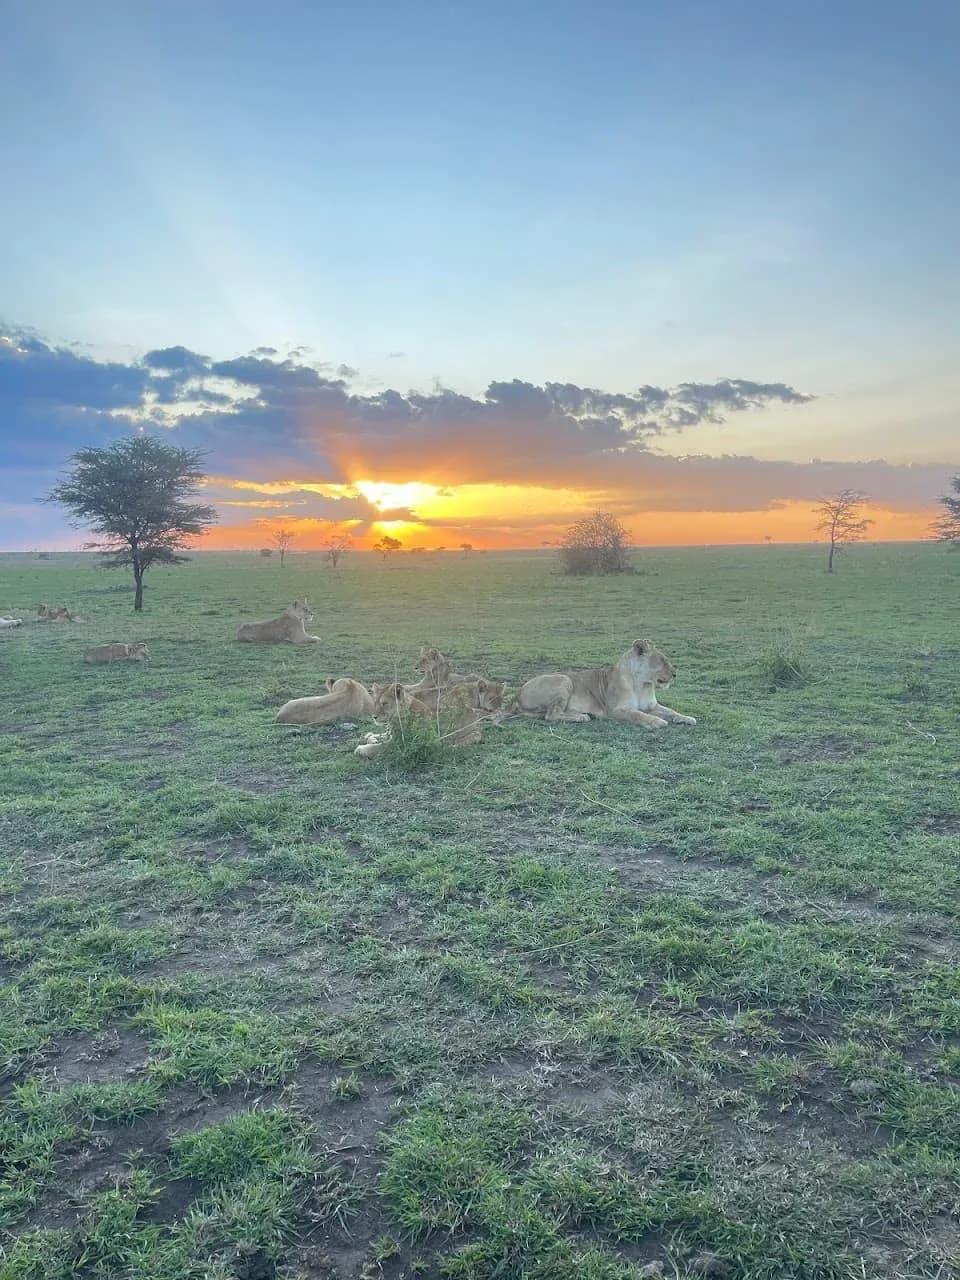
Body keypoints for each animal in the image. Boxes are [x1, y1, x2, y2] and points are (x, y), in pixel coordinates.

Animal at [512, 639, 695, 729]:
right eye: (662, 661)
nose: (675, 674)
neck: (643, 684)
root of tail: (517, 694)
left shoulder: (652, 706)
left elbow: (671, 711)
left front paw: (687, 718)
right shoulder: (616, 710)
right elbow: (637, 714)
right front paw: (656, 721)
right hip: (564, 679)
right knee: (551, 714)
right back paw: (582, 717)